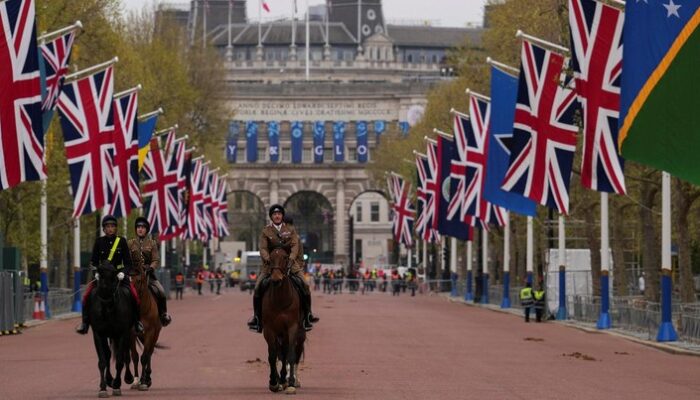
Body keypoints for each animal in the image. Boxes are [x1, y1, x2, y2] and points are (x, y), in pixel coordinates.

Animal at [87, 260, 135, 396]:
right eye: (100, 274)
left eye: (114, 275)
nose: (105, 299)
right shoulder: (98, 334)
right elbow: (103, 360)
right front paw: (103, 387)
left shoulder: (122, 333)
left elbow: (119, 361)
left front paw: (117, 385)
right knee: (109, 355)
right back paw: (109, 380)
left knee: (126, 355)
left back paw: (128, 378)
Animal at [124, 262, 161, 390]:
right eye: (127, 279)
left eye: (139, 280)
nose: (130, 293)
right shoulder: (131, 334)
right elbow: (135, 356)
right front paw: (135, 381)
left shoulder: (150, 332)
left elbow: (144, 357)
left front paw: (144, 381)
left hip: (155, 334)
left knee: (149, 352)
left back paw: (147, 378)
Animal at [262, 247, 306, 394]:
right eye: (270, 258)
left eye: (286, 258)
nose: (276, 279)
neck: (281, 300)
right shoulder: (270, 330)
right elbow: (273, 355)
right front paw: (274, 382)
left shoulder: (292, 328)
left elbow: (291, 355)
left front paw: (290, 383)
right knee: (281, 353)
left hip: (299, 334)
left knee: (295, 353)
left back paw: (293, 380)